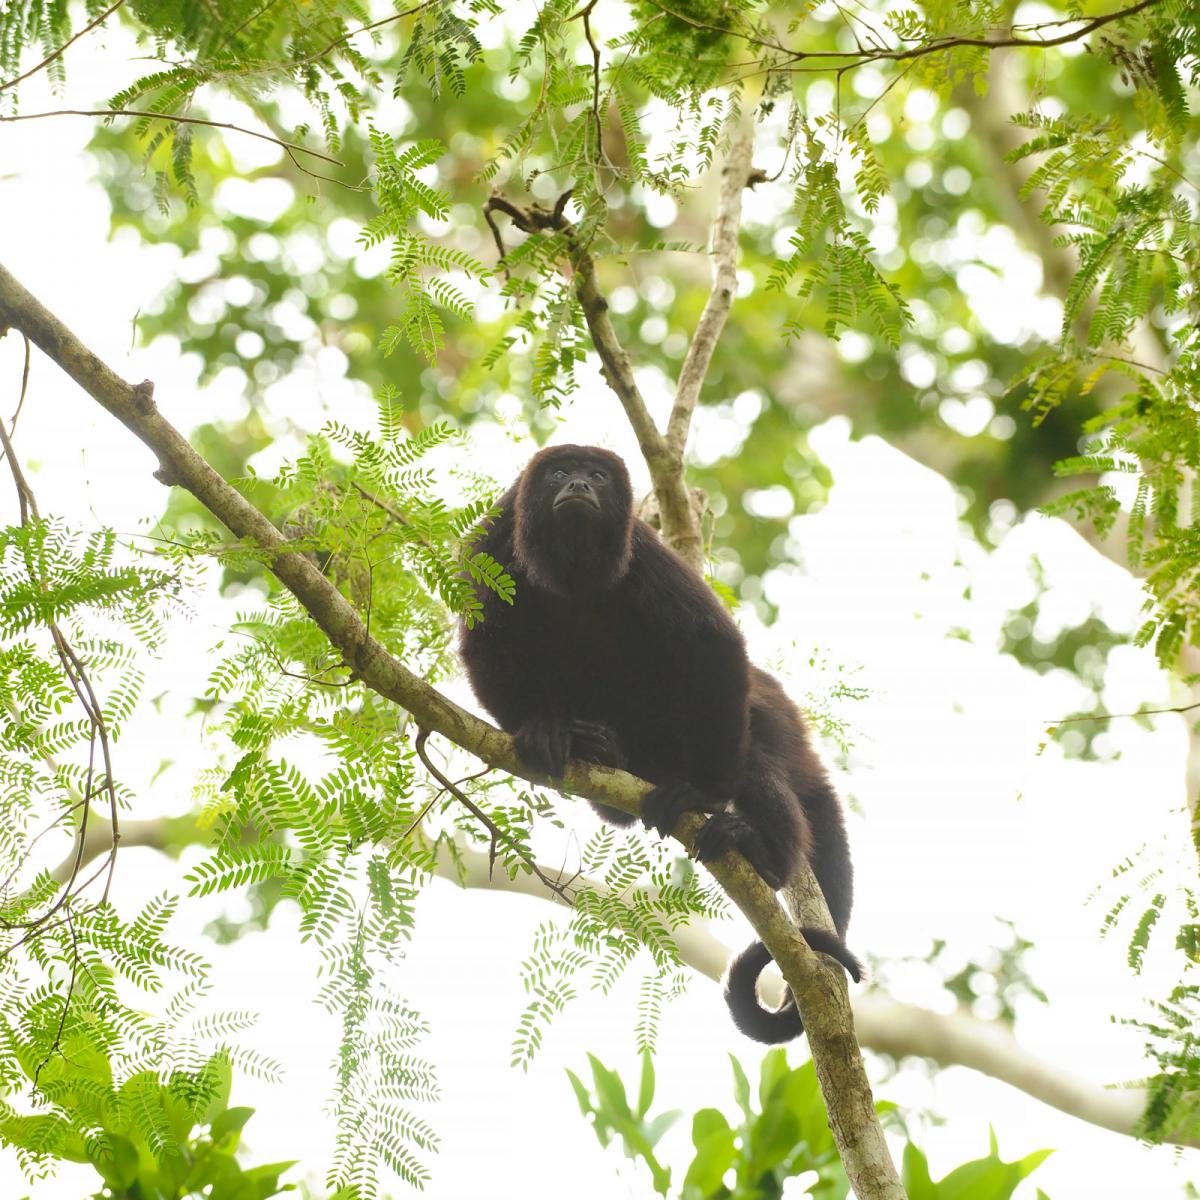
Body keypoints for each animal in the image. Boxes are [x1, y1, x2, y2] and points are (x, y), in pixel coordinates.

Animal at [458, 444, 864, 1041]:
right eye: (560, 472)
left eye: (597, 475)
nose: (579, 484)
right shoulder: (491, 540)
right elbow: (484, 640)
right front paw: (541, 732)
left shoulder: (646, 554)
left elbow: (712, 640)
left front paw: (702, 796)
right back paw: (595, 749)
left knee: (752, 760)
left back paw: (764, 855)